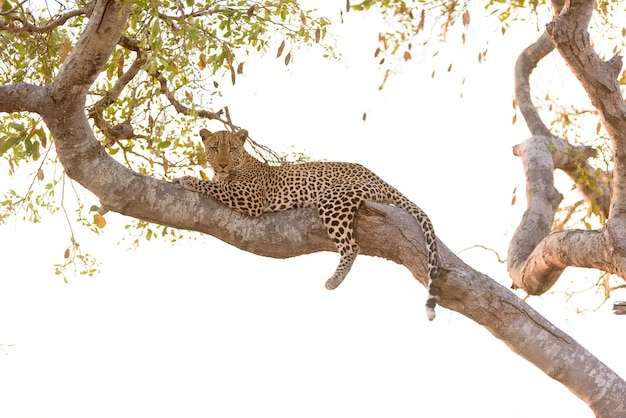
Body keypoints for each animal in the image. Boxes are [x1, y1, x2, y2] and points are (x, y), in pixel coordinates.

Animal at [173, 129, 442, 322]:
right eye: (214, 148)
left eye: (232, 149)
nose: (222, 164)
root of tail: (377, 176)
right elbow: (217, 183)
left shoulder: (250, 197)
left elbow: (216, 186)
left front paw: (187, 179)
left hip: (334, 199)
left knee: (351, 246)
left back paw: (334, 280)